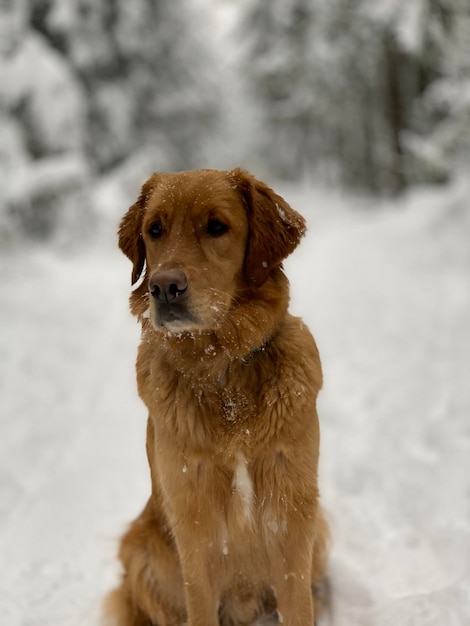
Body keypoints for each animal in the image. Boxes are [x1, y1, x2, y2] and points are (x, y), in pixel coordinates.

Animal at [104, 167, 328, 624]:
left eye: (216, 227)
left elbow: (299, 605)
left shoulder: (291, 515)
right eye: (155, 229)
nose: (164, 288)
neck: (222, 372)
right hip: (141, 552)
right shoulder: (194, 524)